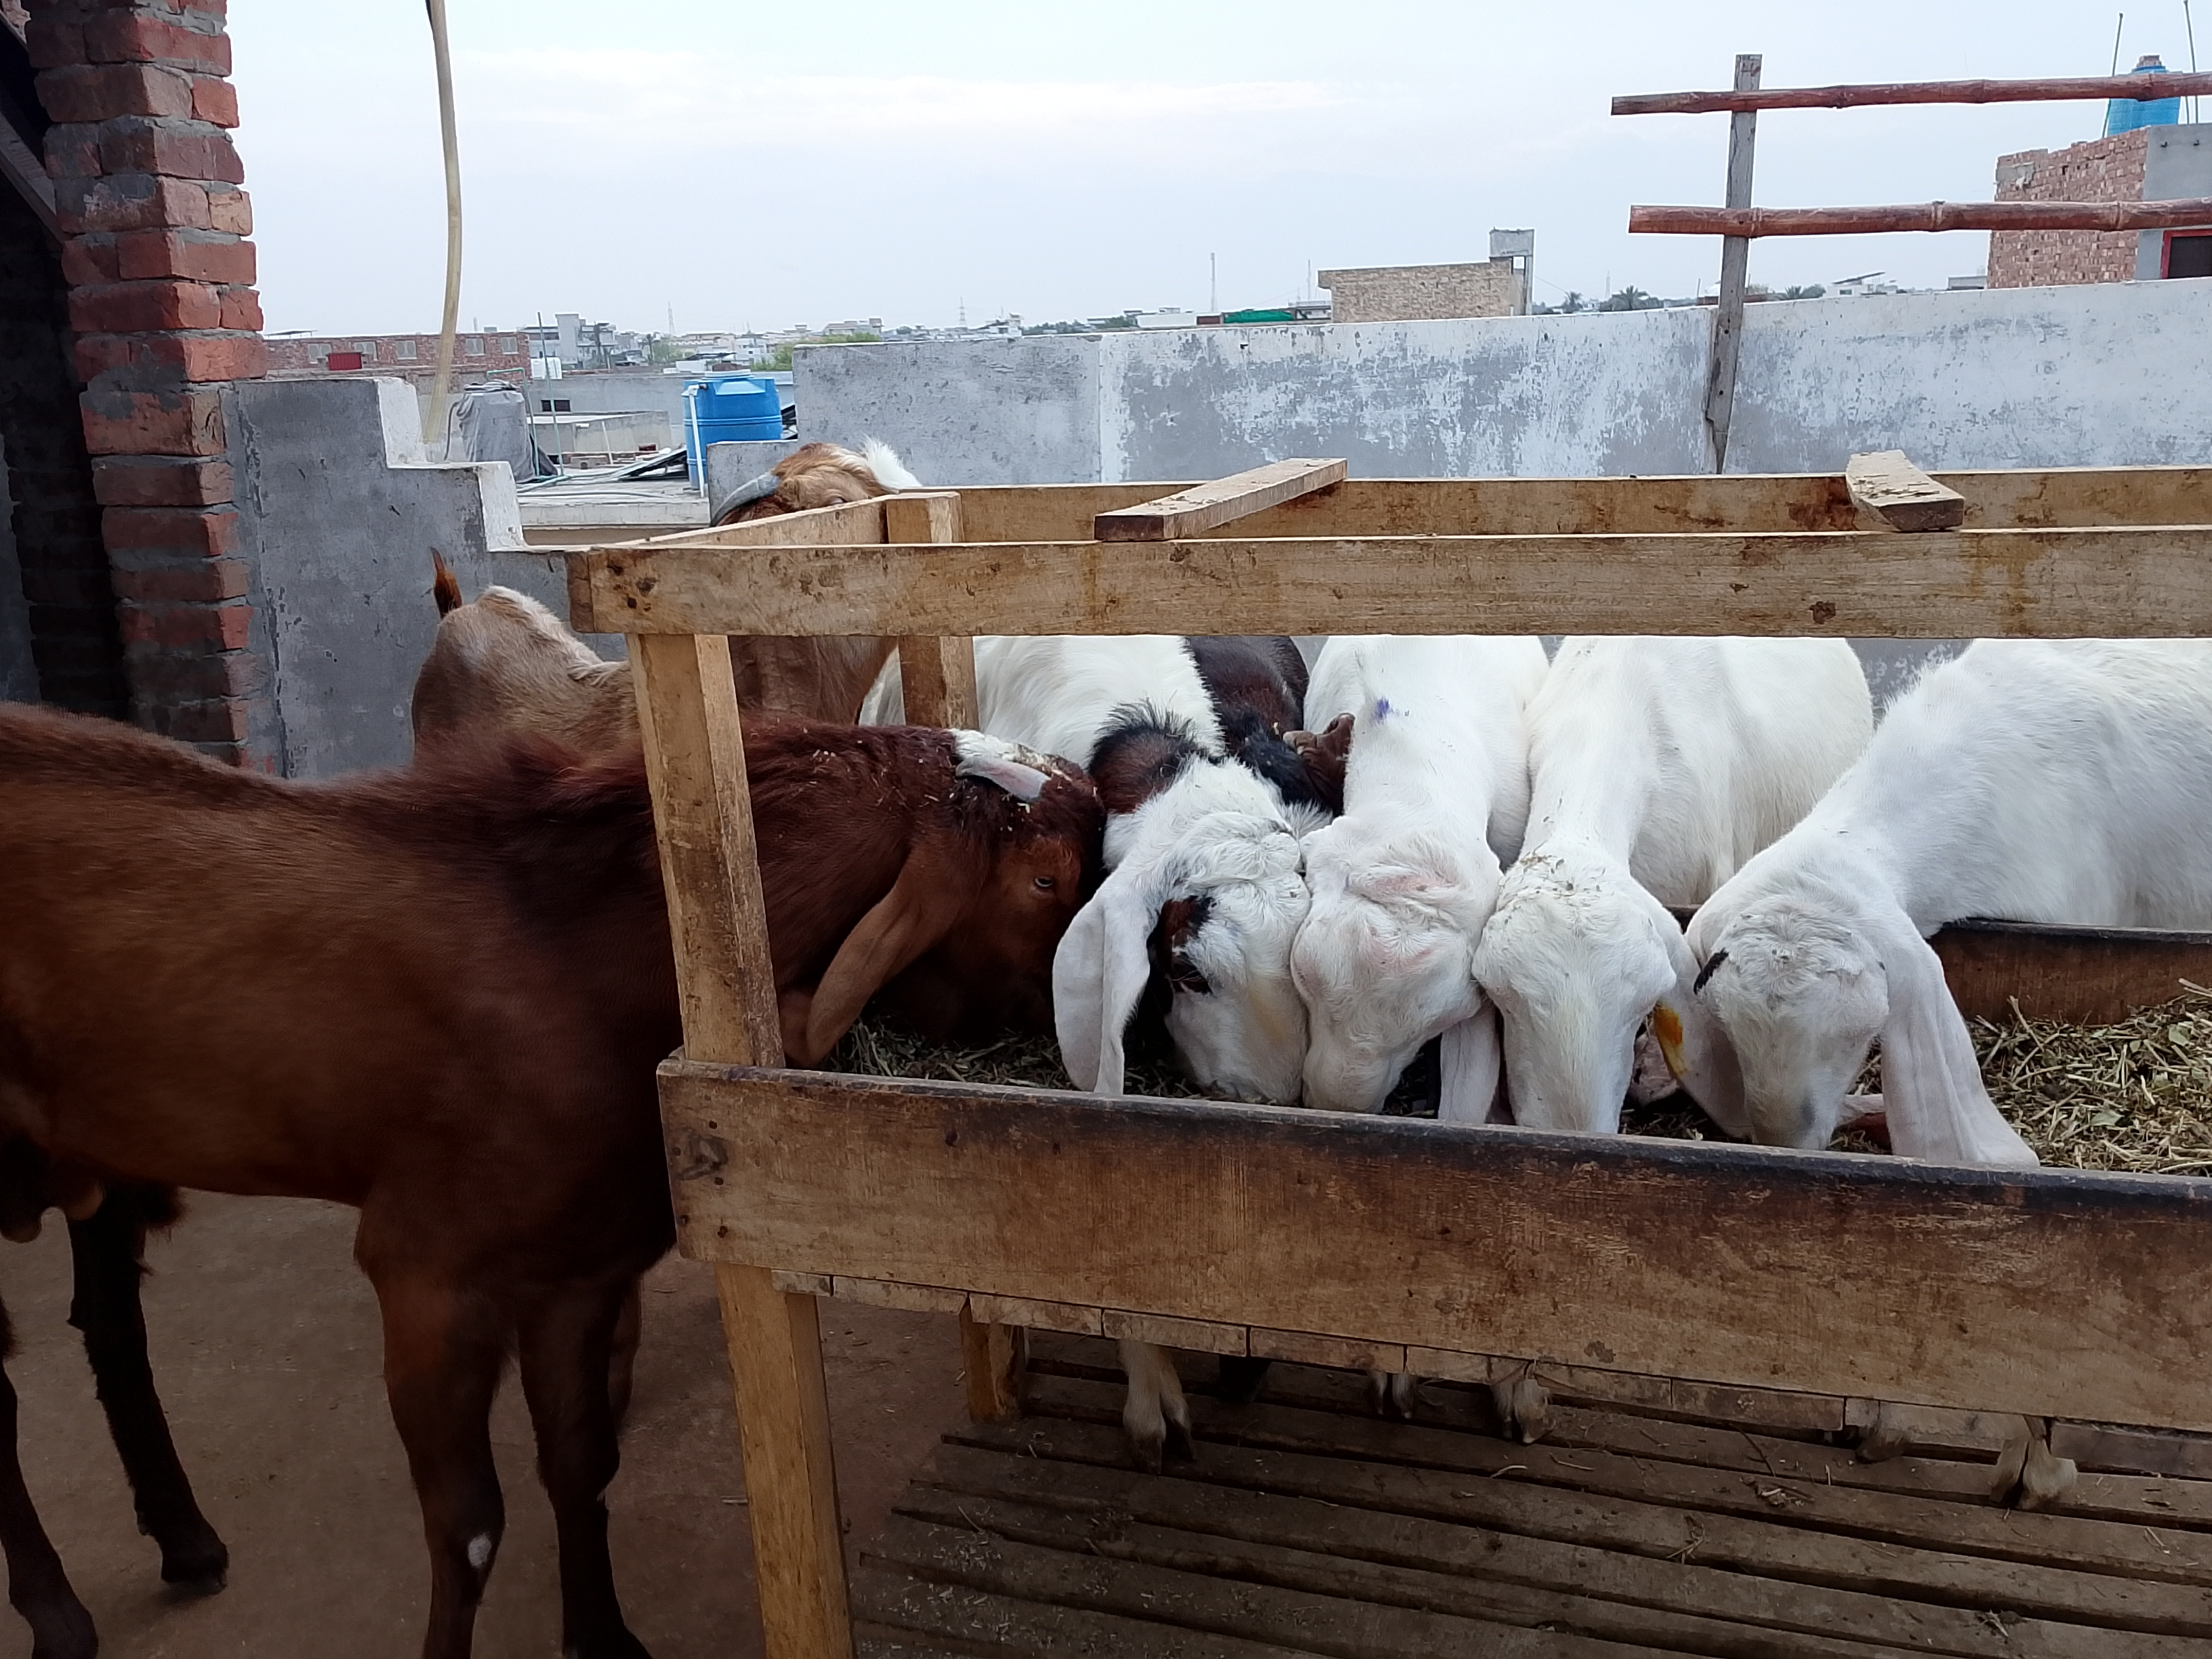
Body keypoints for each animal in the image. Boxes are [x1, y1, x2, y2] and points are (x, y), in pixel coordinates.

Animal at [0, 703, 1095, 1659]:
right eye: (1046, 881)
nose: (1101, 1022)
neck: (584, 957)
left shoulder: (578, 1268)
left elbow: (581, 1464)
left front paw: (604, 1637)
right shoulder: (428, 1274)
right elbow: (470, 1526)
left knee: (110, 1328)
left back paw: (185, 1542)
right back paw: (59, 1618)